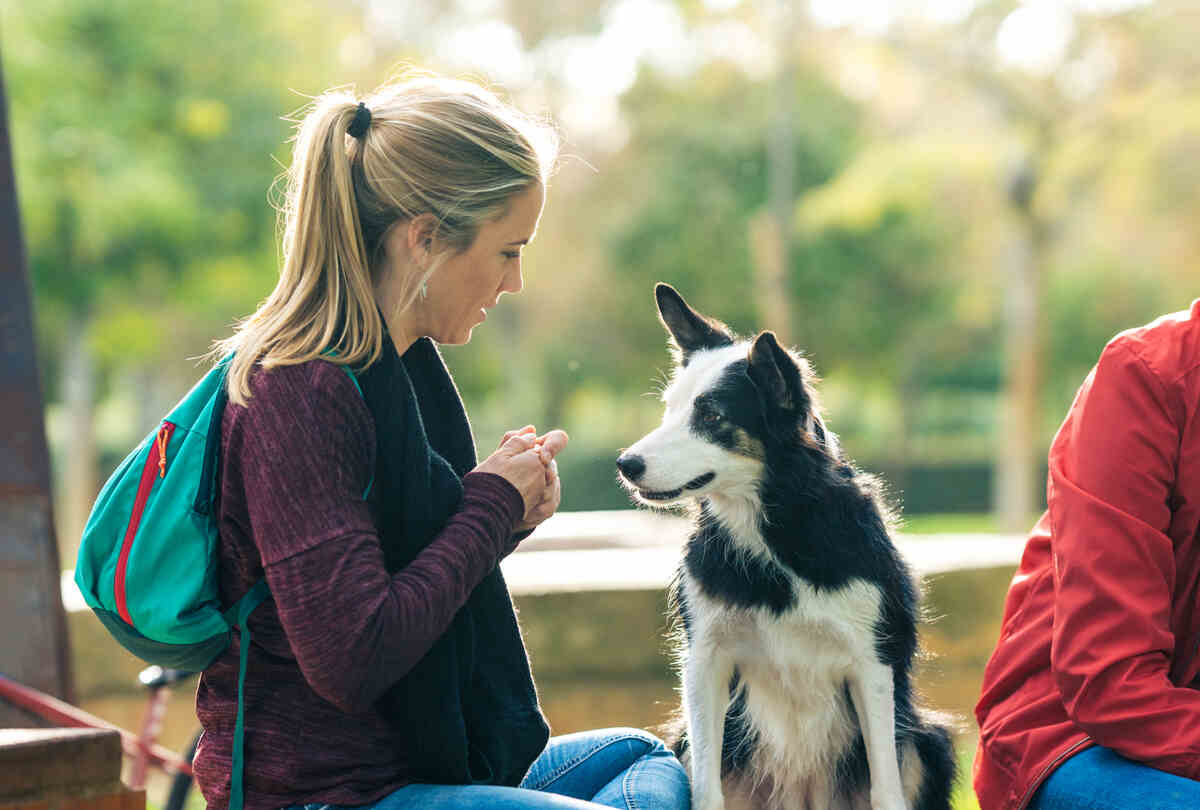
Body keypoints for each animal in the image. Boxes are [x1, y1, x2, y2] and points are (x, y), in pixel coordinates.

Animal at [619, 286, 955, 810]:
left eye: (711, 416)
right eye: (669, 408)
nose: (625, 464)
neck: (775, 532)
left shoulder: (871, 664)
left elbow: (886, 788)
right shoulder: (706, 660)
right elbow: (706, 789)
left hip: (925, 738)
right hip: (687, 740)